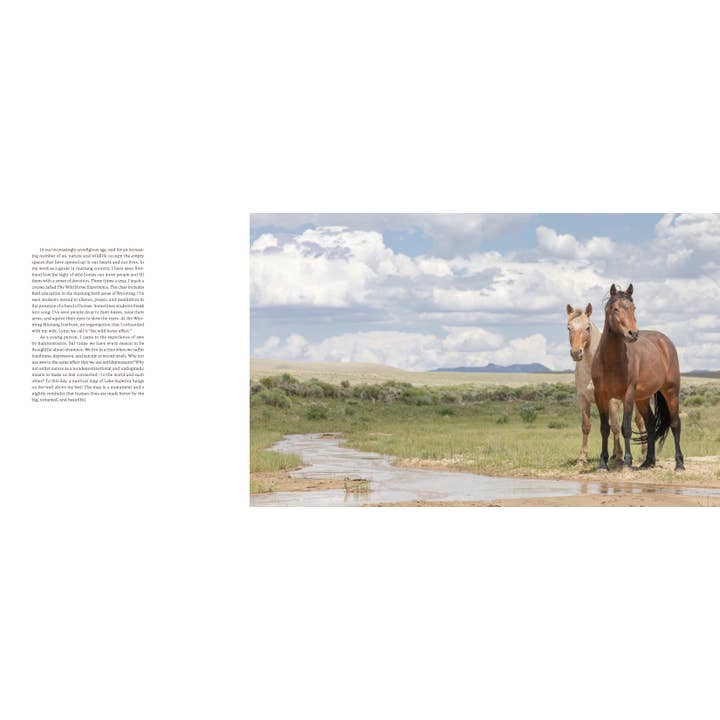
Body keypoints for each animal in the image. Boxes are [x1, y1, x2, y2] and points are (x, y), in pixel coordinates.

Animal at [566, 303, 646, 465]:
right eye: (568, 328)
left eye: (587, 327)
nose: (576, 353)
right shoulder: (583, 400)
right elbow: (586, 426)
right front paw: (582, 459)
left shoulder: (613, 400)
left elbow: (615, 426)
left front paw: (620, 456)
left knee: (639, 422)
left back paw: (644, 453)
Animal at [591, 283, 685, 471]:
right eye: (616, 308)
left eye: (633, 308)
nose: (633, 333)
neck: (611, 361)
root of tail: (665, 342)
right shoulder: (600, 396)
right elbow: (604, 428)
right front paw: (603, 463)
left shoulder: (627, 395)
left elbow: (626, 427)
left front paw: (627, 460)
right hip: (642, 398)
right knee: (650, 424)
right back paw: (648, 462)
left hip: (671, 392)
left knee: (675, 424)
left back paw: (679, 464)